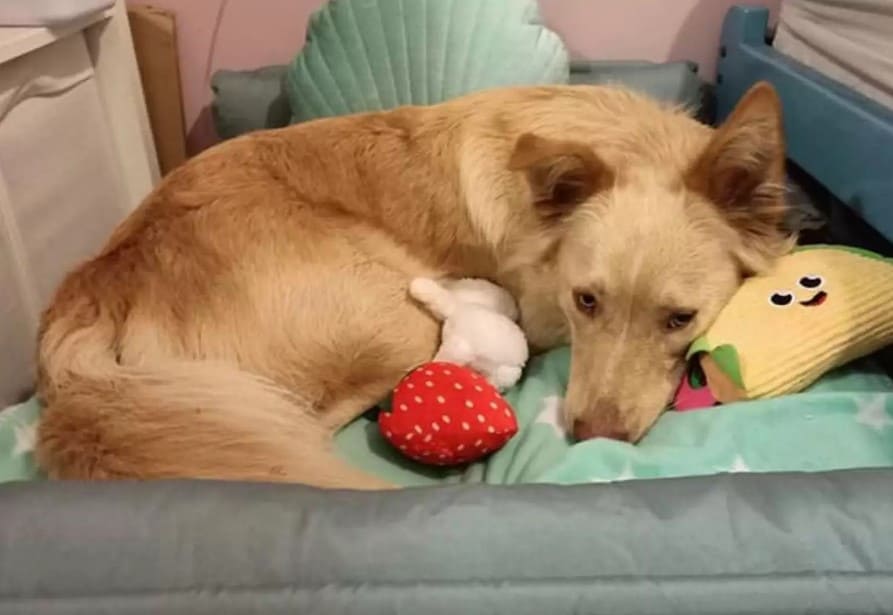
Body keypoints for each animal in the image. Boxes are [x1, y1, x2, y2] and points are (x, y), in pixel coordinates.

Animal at [33, 82, 788, 488]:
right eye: (586, 301)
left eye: (679, 318)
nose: (590, 435)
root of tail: (103, 274)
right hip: (396, 319)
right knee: (305, 422)